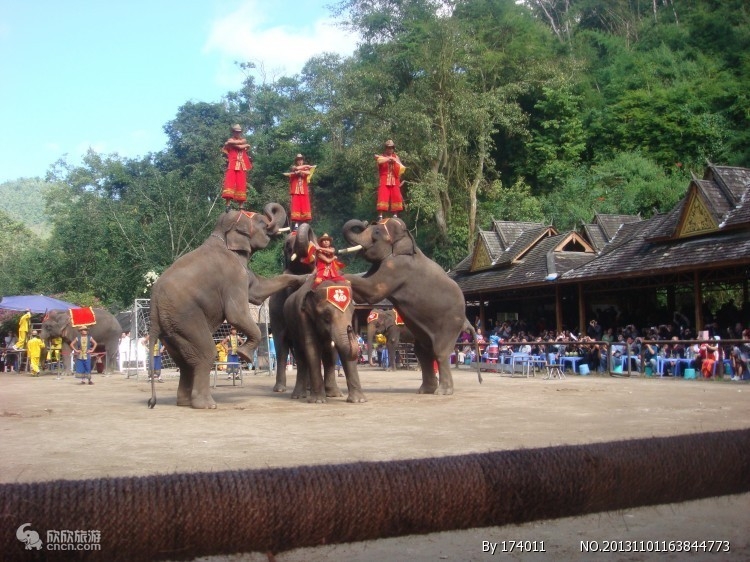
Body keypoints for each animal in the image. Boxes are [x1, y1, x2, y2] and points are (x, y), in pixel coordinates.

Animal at [148, 203, 306, 410]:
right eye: (261, 222)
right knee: (205, 352)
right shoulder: (233, 275)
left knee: (185, 361)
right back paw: (207, 405)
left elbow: (258, 291)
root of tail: (154, 303)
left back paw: (184, 402)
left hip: (170, 328)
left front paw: (306, 279)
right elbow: (236, 313)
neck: (220, 235)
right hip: (184, 317)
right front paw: (244, 355)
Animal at [284, 272, 366, 402]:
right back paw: (298, 396)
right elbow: (311, 346)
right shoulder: (303, 316)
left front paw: (359, 400)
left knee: (329, 354)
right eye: (326, 316)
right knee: (301, 356)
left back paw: (333, 394)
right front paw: (318, 401)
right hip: (292, 327)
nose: (349, 328)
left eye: (352, 312)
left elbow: (339, 351)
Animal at [342, 215, 482, 394]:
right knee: (423, 352)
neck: (407, 240)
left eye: (377, 232)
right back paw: (425, 390)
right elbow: (363, 295)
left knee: (440, 352)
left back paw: (442, 391)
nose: (365, 222)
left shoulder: (397, 266)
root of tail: (465, 320)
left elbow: (374, 290)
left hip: (450, 324)